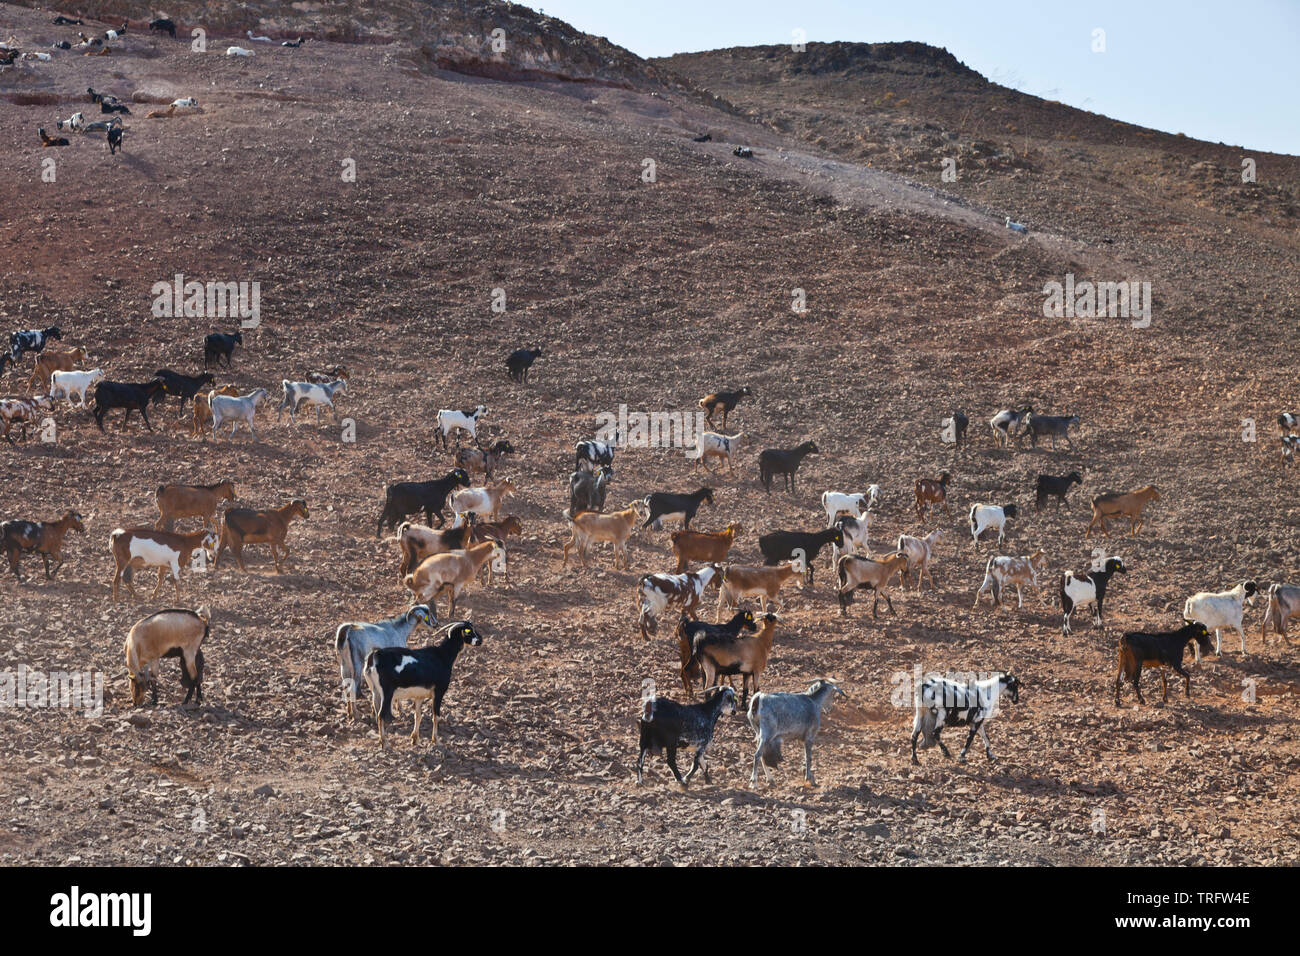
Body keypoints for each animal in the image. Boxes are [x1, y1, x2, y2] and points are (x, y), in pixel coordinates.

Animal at [364, 621, 486, 749]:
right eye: (468, 631)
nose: (480, 640)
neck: (442, 656)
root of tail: (375, 656)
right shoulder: (439, 692)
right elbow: (436, 716)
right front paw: (436, 740)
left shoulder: (419, 696)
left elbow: (418, 716)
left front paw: (415, 739)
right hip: (387, 692)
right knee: (381, 715)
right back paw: (385, 742)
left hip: (375, 691)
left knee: (376, 711)